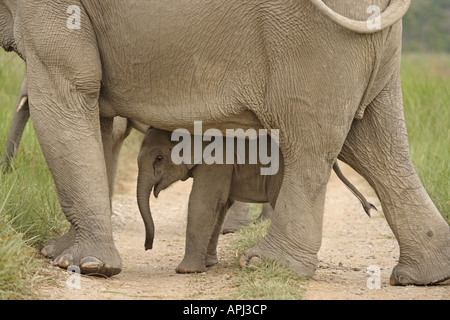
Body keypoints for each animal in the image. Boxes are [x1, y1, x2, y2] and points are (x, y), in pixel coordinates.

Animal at [136, 127, 372, 272]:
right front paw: (210, 264)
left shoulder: (217, 161)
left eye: (159, 158)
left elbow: (205, 201)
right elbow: (221, 206)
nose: (148, 247)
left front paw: (185, 271)